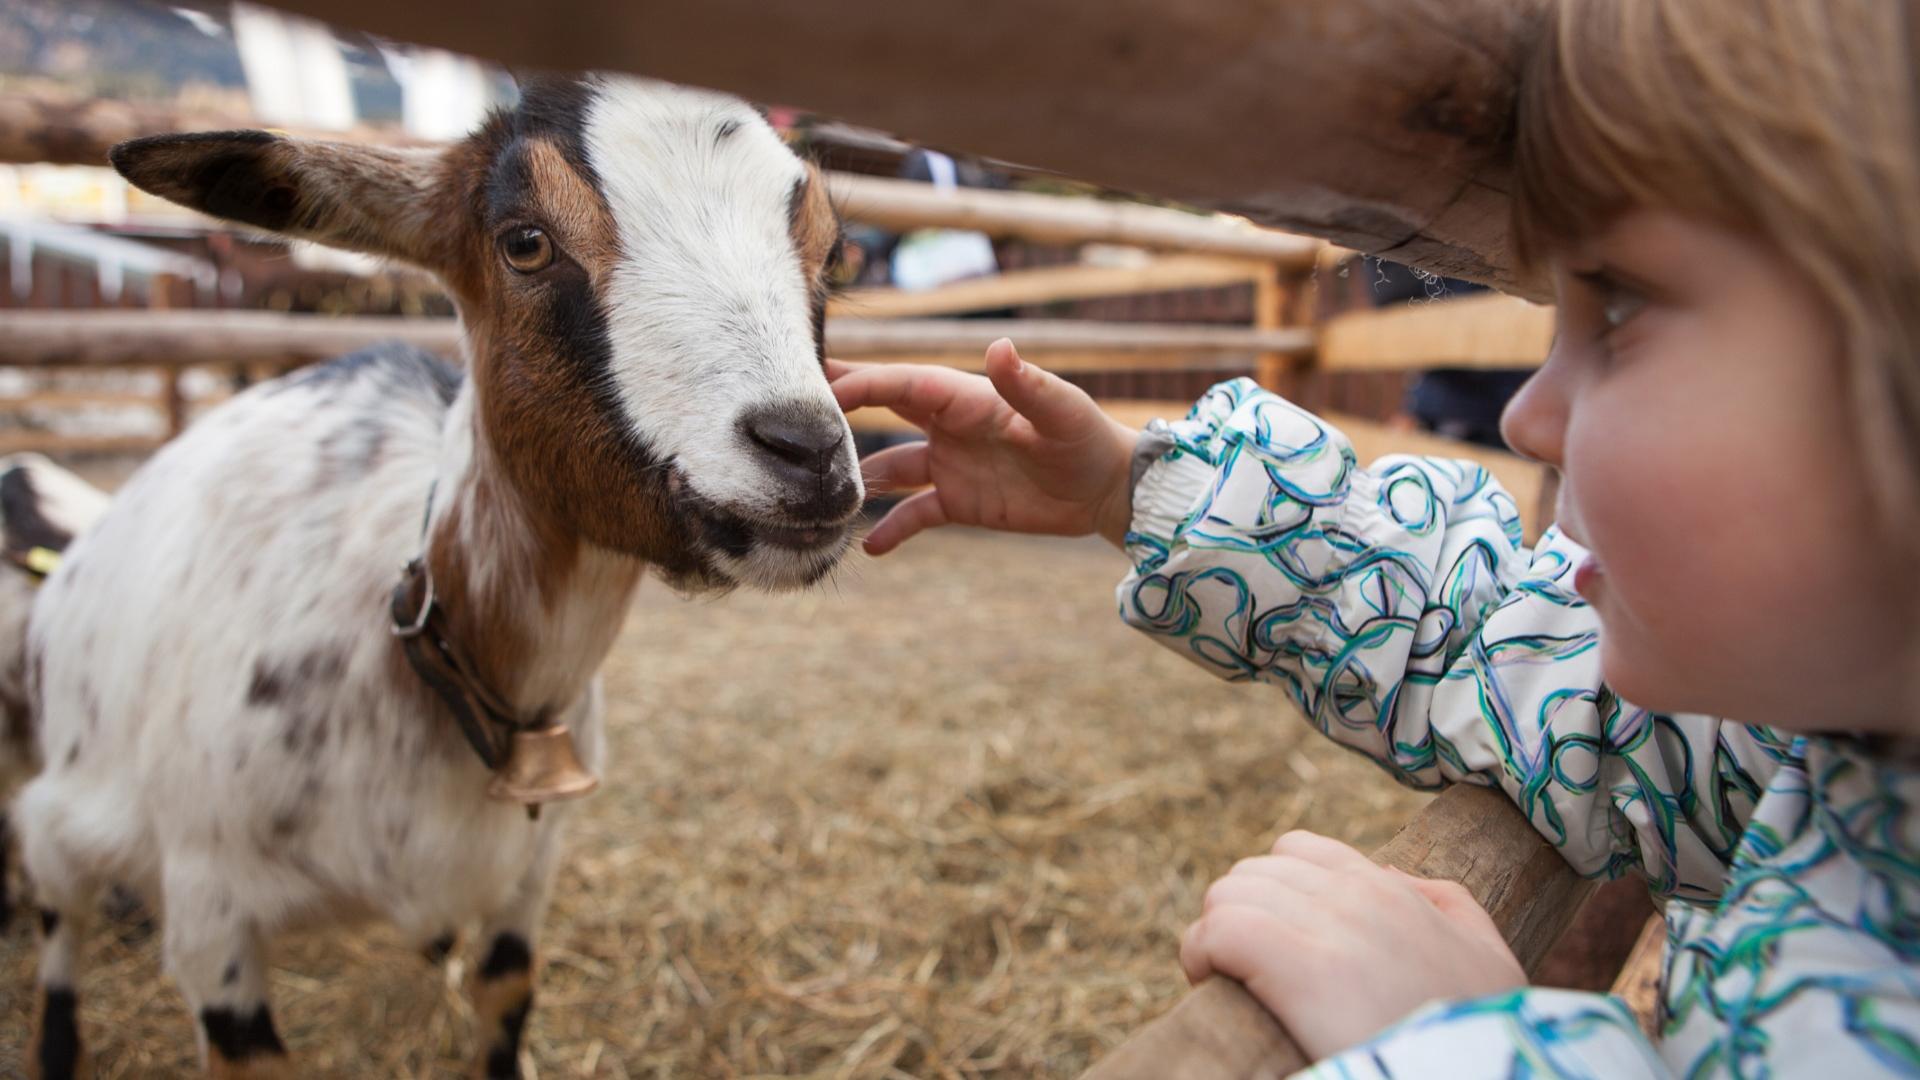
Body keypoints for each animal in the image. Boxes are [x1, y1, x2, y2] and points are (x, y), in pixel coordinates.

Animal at [15, 71, 864, 1068]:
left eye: (835, 252)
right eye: (524, 242)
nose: (807, 452)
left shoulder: (528, 880)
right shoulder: (210, 918)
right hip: (63, 813)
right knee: (57, 921)